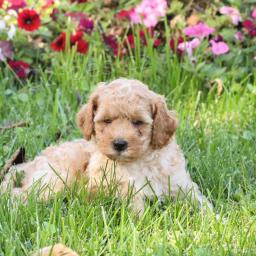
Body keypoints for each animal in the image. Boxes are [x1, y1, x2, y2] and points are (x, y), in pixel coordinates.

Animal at [0, 78, 212, 256]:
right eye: (107, 121)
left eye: (138, 122)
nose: (119, 144)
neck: (141, 161)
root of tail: (31, 162)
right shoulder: (124, 189)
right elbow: (138, 213)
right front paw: (150, 230)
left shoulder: (181, 185)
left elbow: (202, 203)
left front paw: (214, 221)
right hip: (55, 180)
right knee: (19, 194)